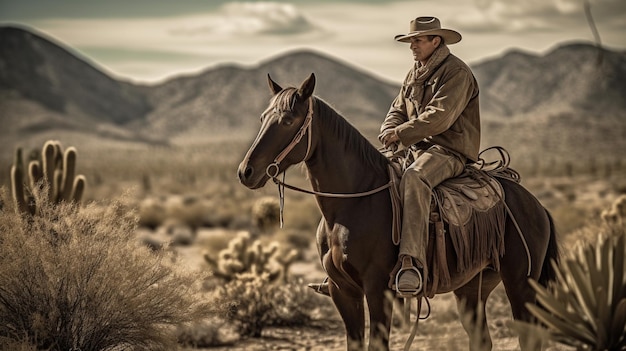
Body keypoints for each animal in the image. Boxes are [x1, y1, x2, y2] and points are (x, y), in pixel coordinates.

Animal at [236, 73, 560, 350]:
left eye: (288, 120)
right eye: (263, 118)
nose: (245, 172)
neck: (351, 205)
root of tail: (537, 206)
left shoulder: (378, 290)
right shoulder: (343, 291)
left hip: (521, 285)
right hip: (473, 288)